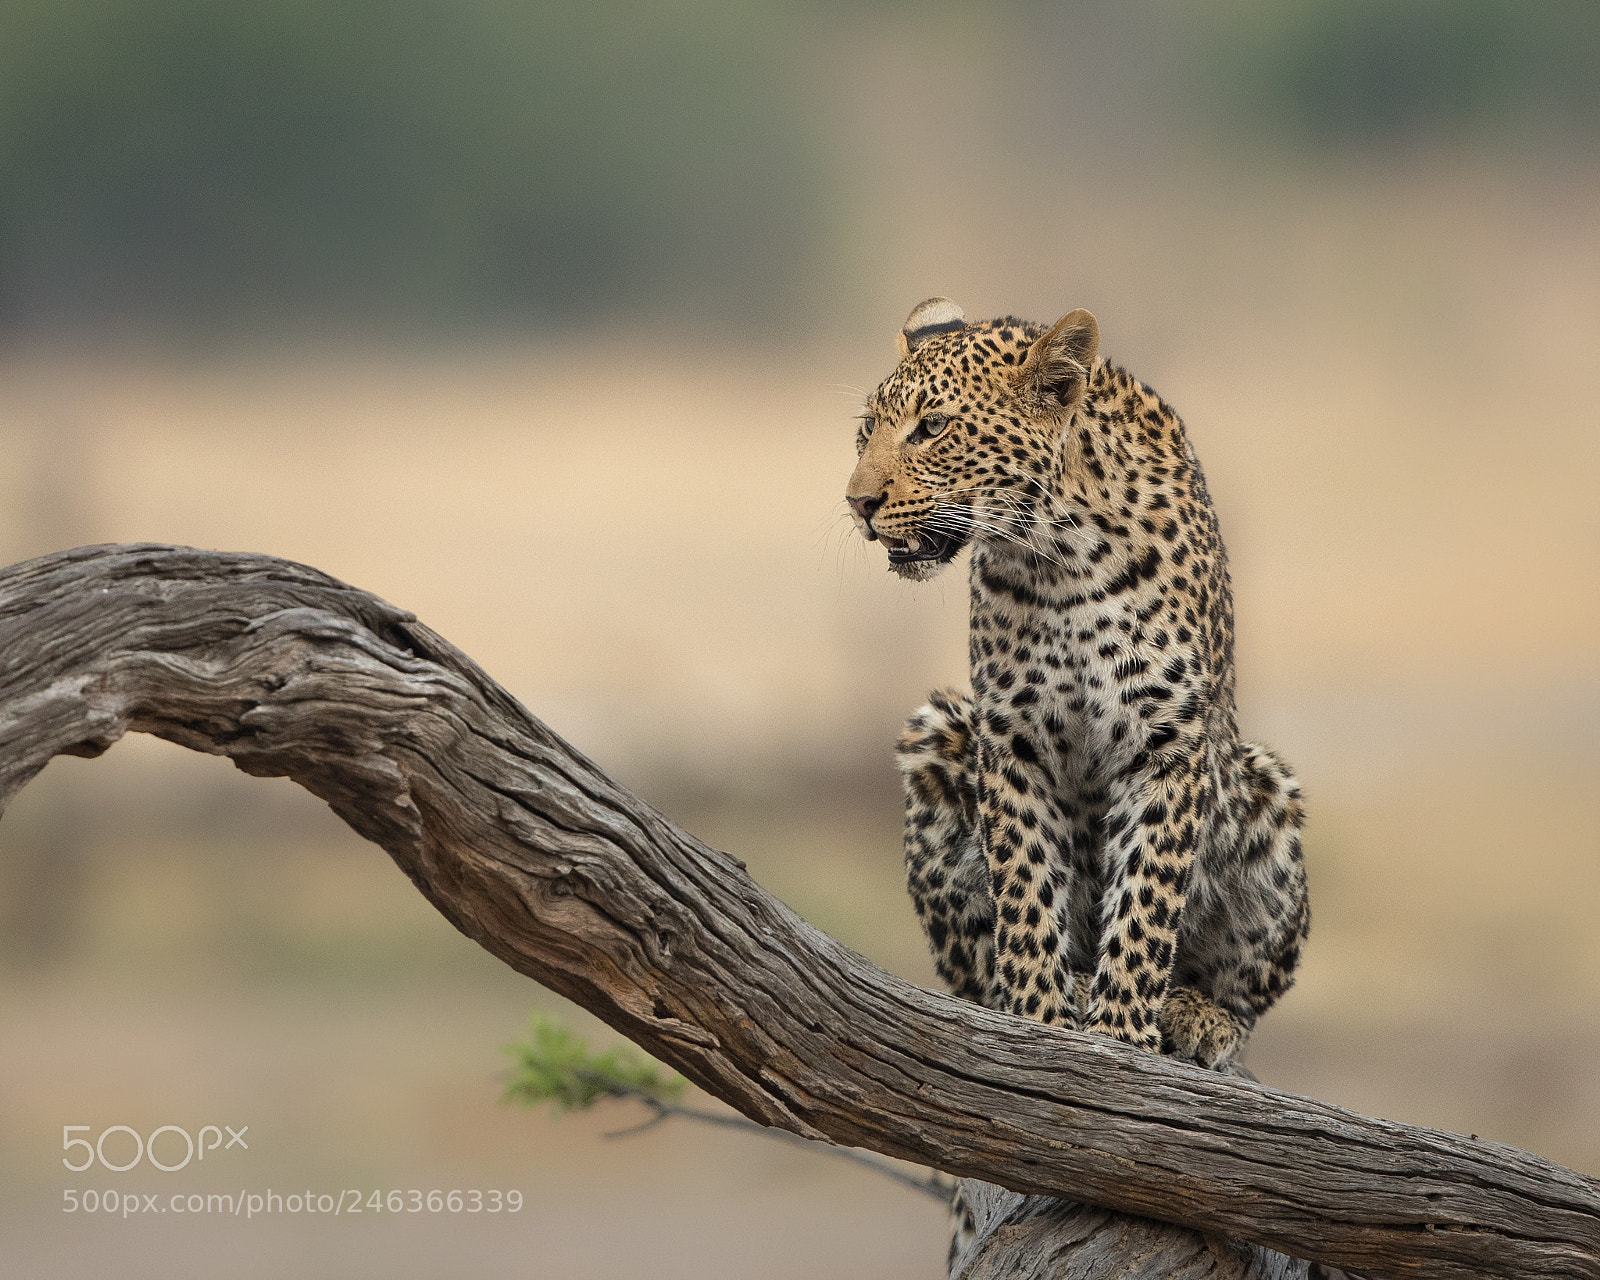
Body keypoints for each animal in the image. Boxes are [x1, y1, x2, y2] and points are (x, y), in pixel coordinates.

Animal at [846, 296, 1309, 1072]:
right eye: (865, 431)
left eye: (931, 428)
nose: (857, 503)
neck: (1057, 555)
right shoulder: (1011, 739)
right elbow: (1026, 887)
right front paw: (1040, 1016)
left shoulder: (1165, 742)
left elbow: (1147, 898)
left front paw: (1120, 1031)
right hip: (937, 734)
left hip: (1266, 792)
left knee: (1240, 994)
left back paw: (1195, 1015)